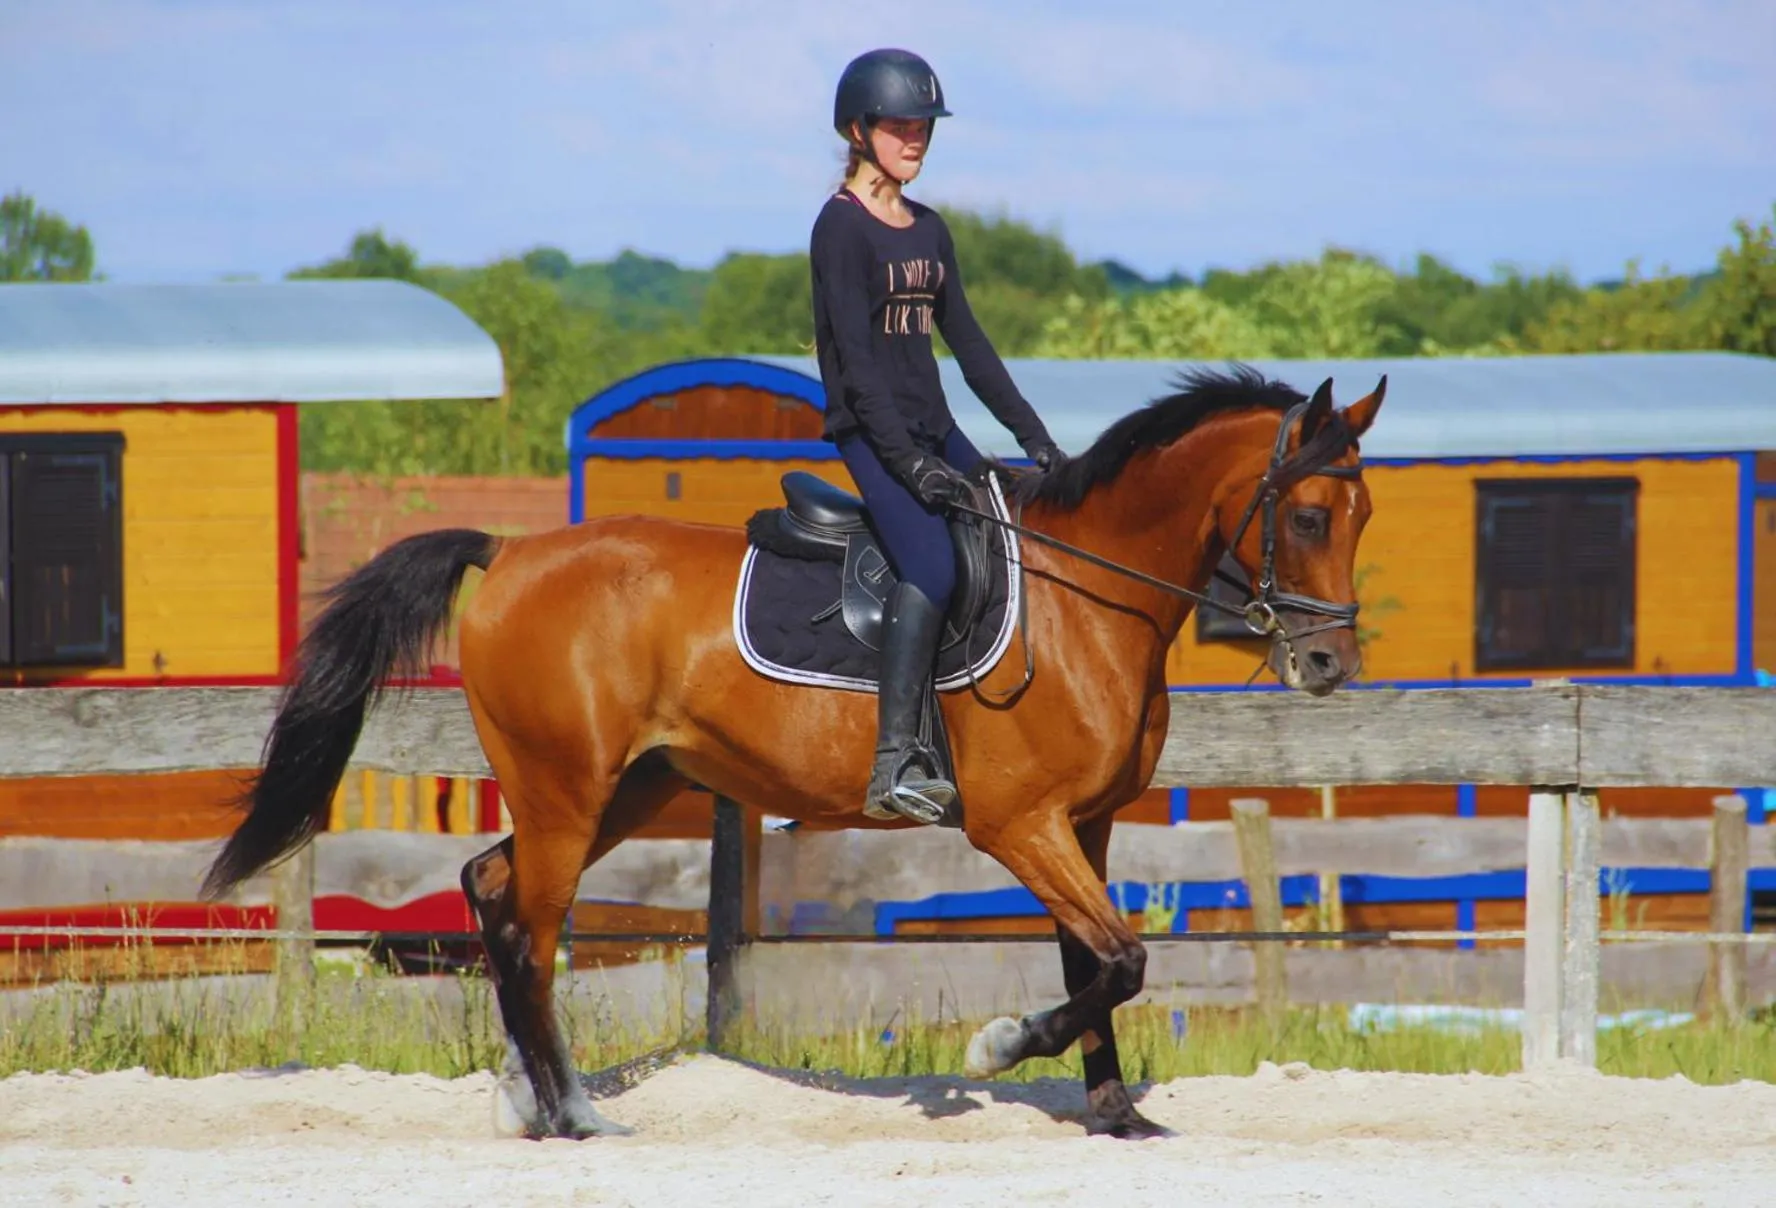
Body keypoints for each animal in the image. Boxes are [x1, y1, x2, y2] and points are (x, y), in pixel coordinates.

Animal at [200, 363, 1385, 1141]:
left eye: (1364, 513)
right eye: (1310, 514)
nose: (1329, 661)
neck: (1087, 595)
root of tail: (512, 551)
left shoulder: (1082, 825)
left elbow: (1096, 961)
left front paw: (1116, 1114)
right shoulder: (1022, 825)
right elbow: (1124, 959)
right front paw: (1000, 1046)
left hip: (627, 789)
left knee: (492, 889)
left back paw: (527, 1096)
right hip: (567, 790)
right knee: (530, 928)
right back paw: (574, 1112)